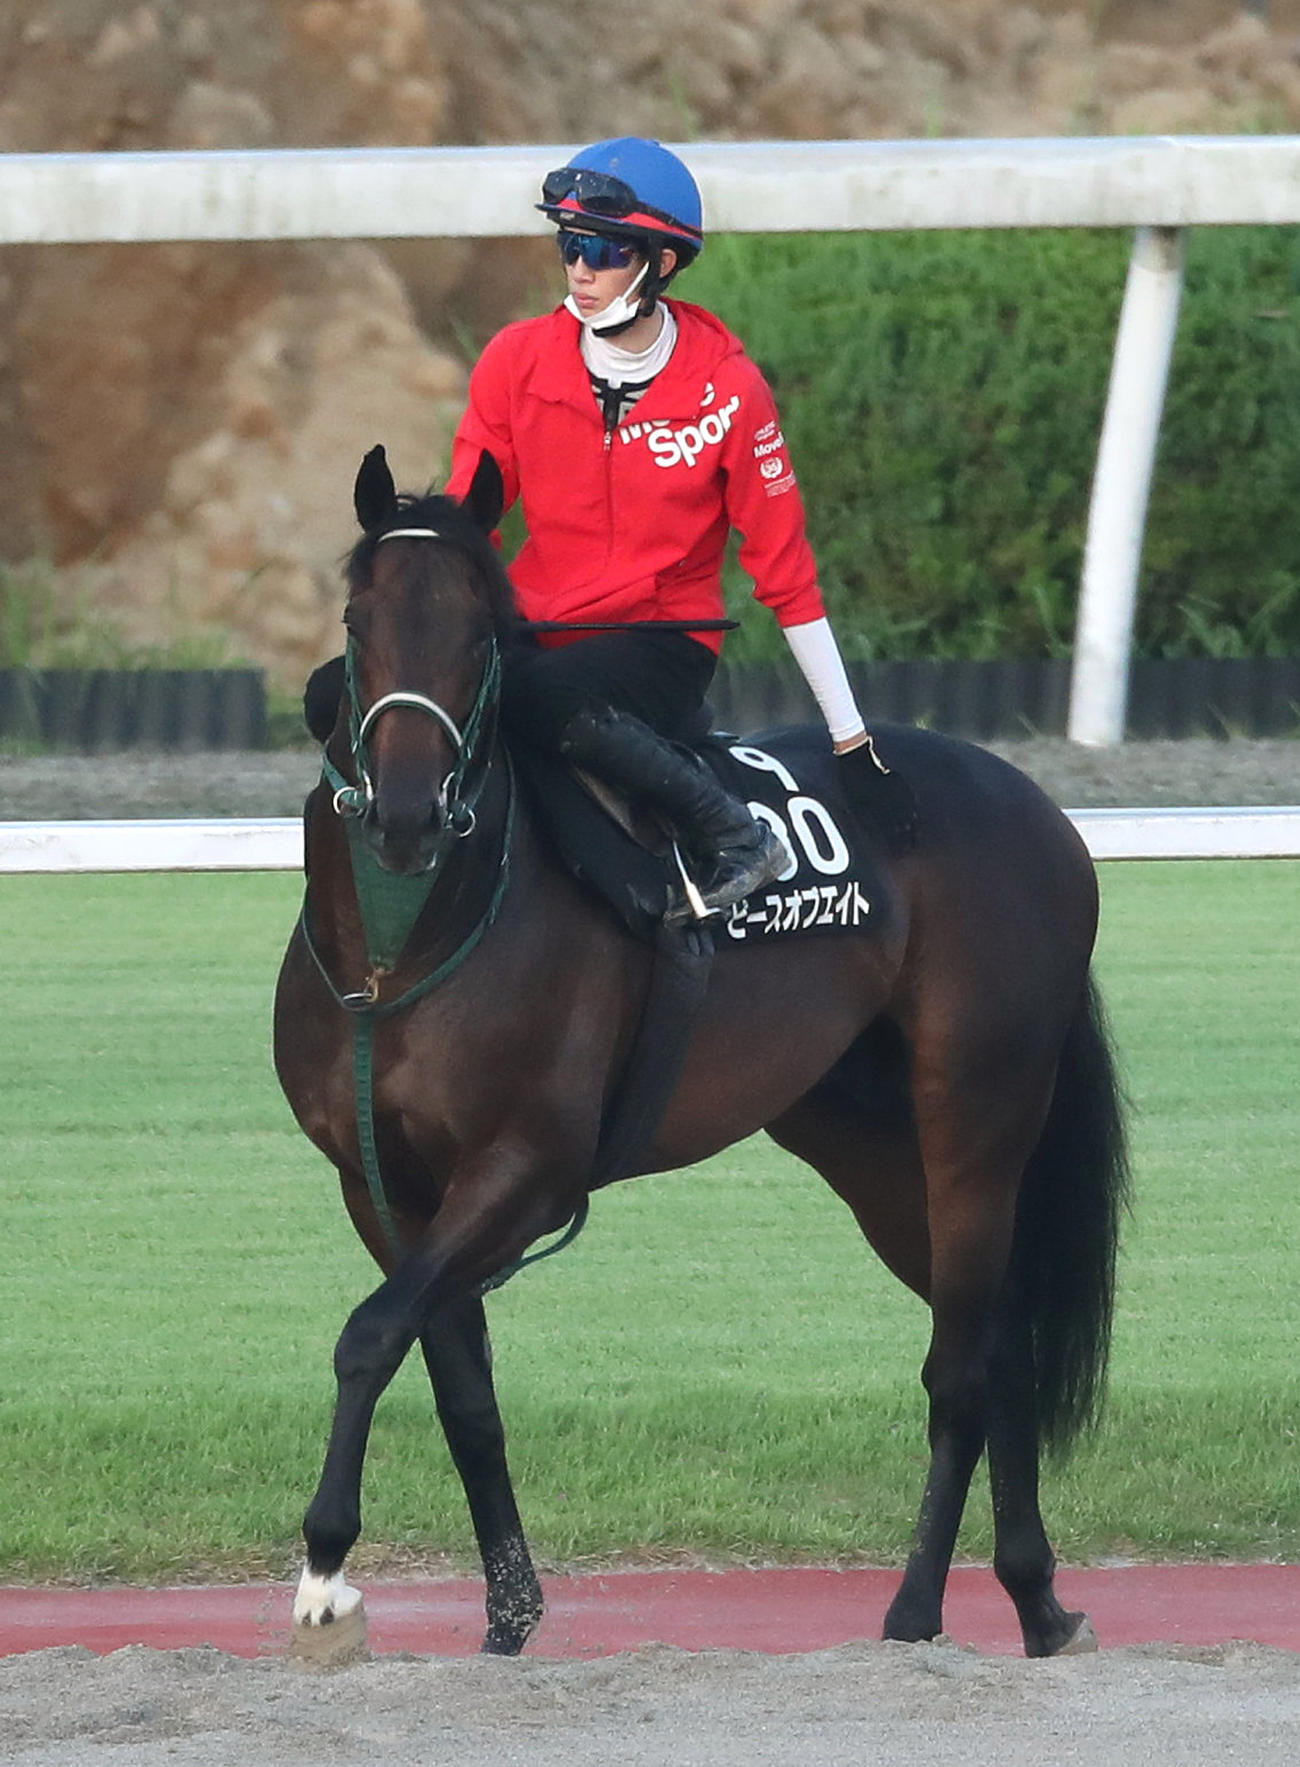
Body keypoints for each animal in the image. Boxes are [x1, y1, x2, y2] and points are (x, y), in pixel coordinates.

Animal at [273, 444, 1129, 1661]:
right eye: (358, 618)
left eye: (484, 631)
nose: (403, 809)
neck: (405, 947)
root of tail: (1036, 807)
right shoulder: (382, 1182)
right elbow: (457, 1385)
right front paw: (507, 1615)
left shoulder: (524, 1169)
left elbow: (370, 1332)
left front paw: (326, 1569)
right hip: (871, 1148)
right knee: (1000, 1335)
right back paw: (1037, 1597)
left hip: (978, 1111)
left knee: (963, 1363)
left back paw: (916, 1609)